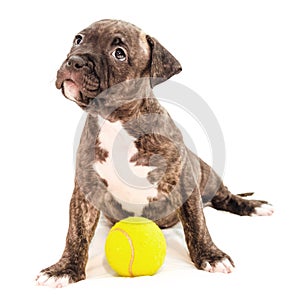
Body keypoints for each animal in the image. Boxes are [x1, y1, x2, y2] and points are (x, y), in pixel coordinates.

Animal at [35, 19, 274, 288]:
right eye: (78, 39)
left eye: (119, 54)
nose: (75, 61)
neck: (115, 122)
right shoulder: (86, 189)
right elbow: (76, 231)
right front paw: (64, 269)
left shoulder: (184, 180)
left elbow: (197, 223)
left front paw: (211, 255)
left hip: (208, 176)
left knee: (226, 198)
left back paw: (254, 206)